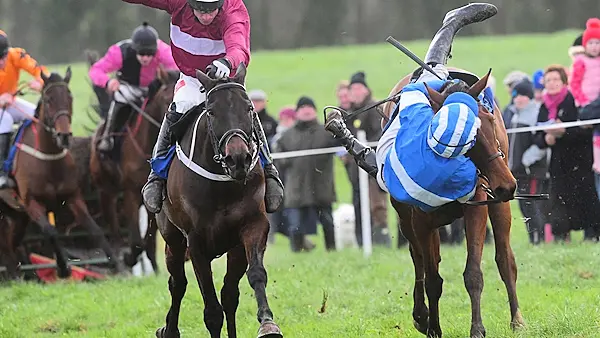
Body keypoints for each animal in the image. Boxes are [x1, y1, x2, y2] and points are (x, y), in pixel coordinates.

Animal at [0, 68, 124, 278]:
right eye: (49, 99)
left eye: (69, 97)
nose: (64, 136)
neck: (48, 159)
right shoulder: (32, 202)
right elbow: (50, 231)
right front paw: (63, 268)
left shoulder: (73, 197)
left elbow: (94, 228)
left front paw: (116, 264)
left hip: (17, 215)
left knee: (11, 245)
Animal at [88, 66, 179, 272]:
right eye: (166, 100)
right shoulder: (130, 193)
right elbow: (136, 241)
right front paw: (129, 257)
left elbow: (149, 240)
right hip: (106, 190)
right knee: (113, 226)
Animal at [151, 62, 280, 336]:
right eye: (211, 112)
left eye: (250, 108)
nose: (238, 158)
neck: (223, 186)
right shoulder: (196, 243)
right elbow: (211, 311)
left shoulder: (252, 227)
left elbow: (255, 275)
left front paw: (267, 323)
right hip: (172, 238)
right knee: (177, 283)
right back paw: (169, 329)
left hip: (232, 247)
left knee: (229, 294)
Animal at [326, 3, 524, 338]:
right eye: (469, 132)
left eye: (488, 119)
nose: (506, 184)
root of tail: (432, 66)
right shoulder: (419, 218)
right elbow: (429, 274)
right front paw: (430, 324)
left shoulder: (476, 204)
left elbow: (473, 272)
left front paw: (477, 328)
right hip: (410, 216)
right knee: (420, 259)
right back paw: (422, 315)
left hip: (498, 203)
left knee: (504, 257)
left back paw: (517, 319)